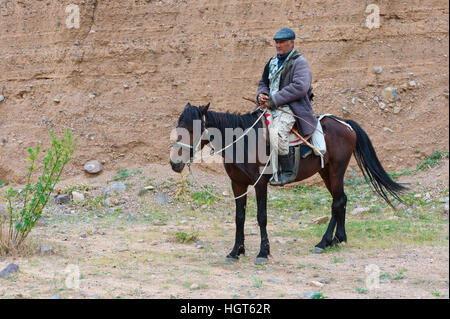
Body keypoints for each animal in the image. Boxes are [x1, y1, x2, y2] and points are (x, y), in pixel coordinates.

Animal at [170, 103, 408, 264]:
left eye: (192, 129)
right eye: (178, 126)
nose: (175, 163)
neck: (243, 142)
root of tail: (345, 124)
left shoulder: (260, 184)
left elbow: (261, 217)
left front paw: (263, 252)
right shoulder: (237, 184)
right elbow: (239, 218)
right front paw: (236, 251)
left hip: (336, 170)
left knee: (338, 201)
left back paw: (323, 242)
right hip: (326, 172)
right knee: (341, 200)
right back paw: (337, 239)